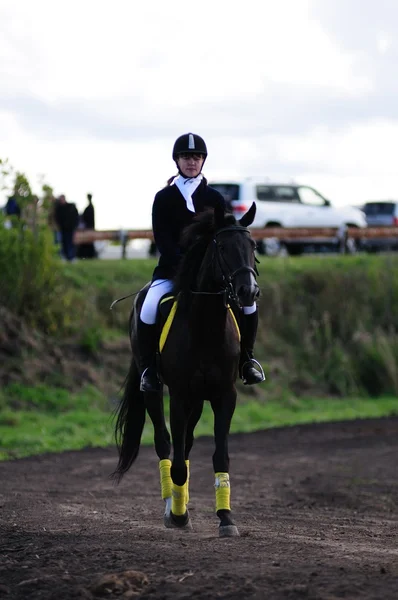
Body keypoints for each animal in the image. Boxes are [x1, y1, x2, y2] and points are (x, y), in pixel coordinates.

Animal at [113, 203, 260, 540]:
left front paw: (226, 517)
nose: (248, 291)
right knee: (166, 444)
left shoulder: (224, 395)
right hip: (155, 390)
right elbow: (177, 460)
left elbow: (220, 455)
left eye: (252, 246)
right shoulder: (179, 395)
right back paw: (172, 506)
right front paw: (178, 515)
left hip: (198, 398)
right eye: (222, 247)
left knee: (187, 444)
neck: (206, 325)